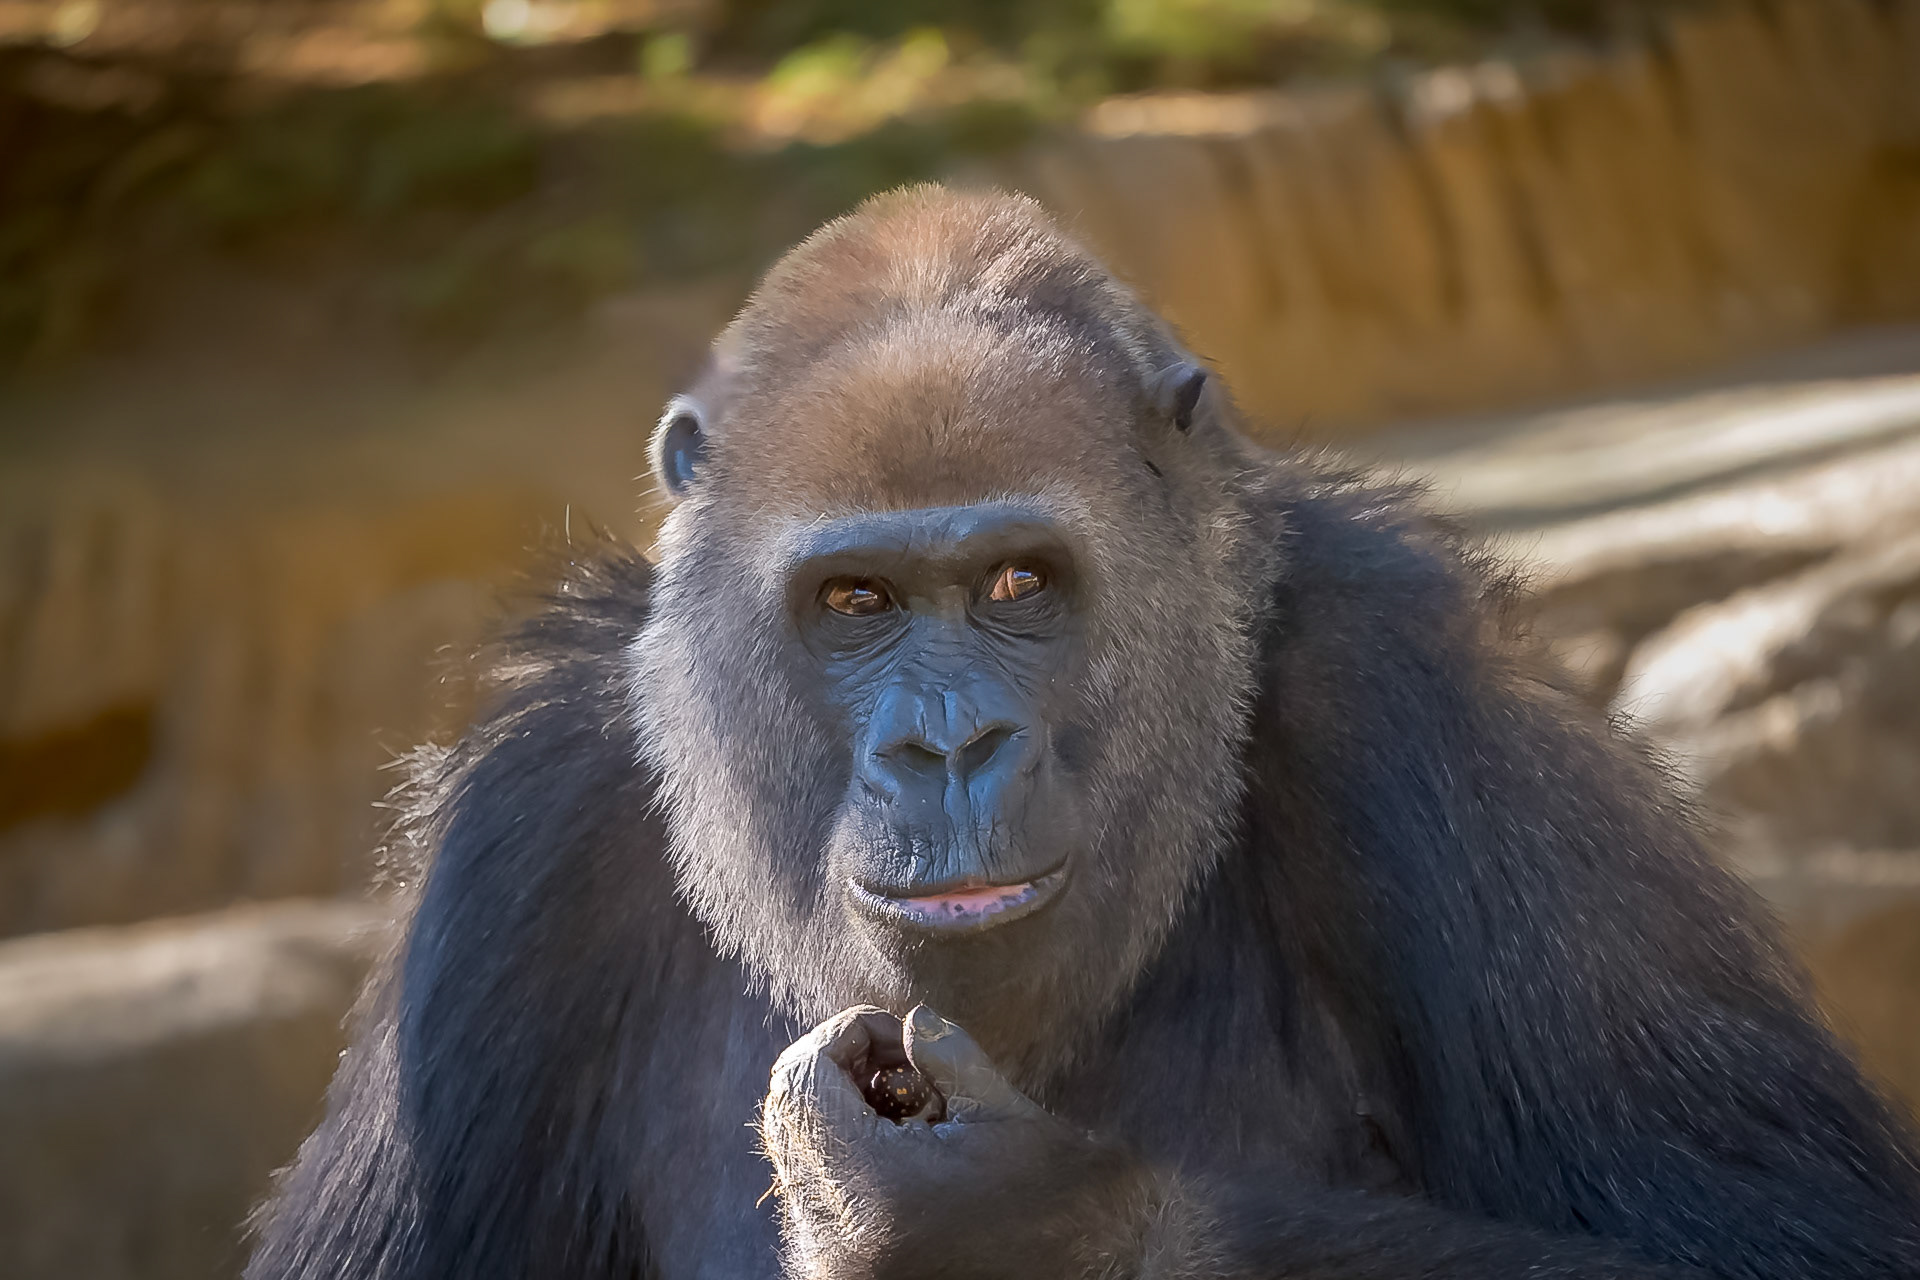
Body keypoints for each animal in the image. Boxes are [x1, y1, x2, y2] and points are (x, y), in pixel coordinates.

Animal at [245, 185, 1920, 1280]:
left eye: (1017, 585)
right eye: (854, 602)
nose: (945, 750)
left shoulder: (1425, 700)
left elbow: (1797, 1244)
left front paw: (1028, 1222)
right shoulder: (530, 818)